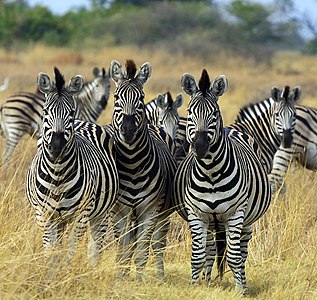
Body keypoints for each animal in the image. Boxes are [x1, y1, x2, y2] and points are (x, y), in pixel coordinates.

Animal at [25, 67, 118, 272]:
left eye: (71, 111)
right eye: (45, 111)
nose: (56, 146)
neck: (57, 173)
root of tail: (84, 123)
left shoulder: (81, 215)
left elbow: (71, 252)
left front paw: (67, 274)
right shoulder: (43, 215)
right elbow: (50, 252)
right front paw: (51, 275)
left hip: (101, 212)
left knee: (95, 246)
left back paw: (92, 270)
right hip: (59, 219)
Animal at [107, 59, 177, 282]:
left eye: (141, 98)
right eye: (116, 97)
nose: (128, 130)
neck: (132, 164)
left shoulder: (150, 209)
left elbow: (143, 250)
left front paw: (138, 280)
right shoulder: (119, 211)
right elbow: (123, 248)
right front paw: (120, 278)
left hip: (162, 213)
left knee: (158, 243)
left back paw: (160, 276)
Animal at [174, 68, 270, 292]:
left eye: (214, 114)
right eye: (189, 113)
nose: (200, 147)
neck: (210, 172)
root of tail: (232, 129)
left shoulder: (235, 213)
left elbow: (234, 258)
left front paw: (240, 290)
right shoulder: (196, 213)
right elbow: (197, 257)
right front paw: (194, 287)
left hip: (247, 221)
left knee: (242, 253)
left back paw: (243, 283)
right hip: (211, 222)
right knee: (210, 250)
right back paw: (207, 280)